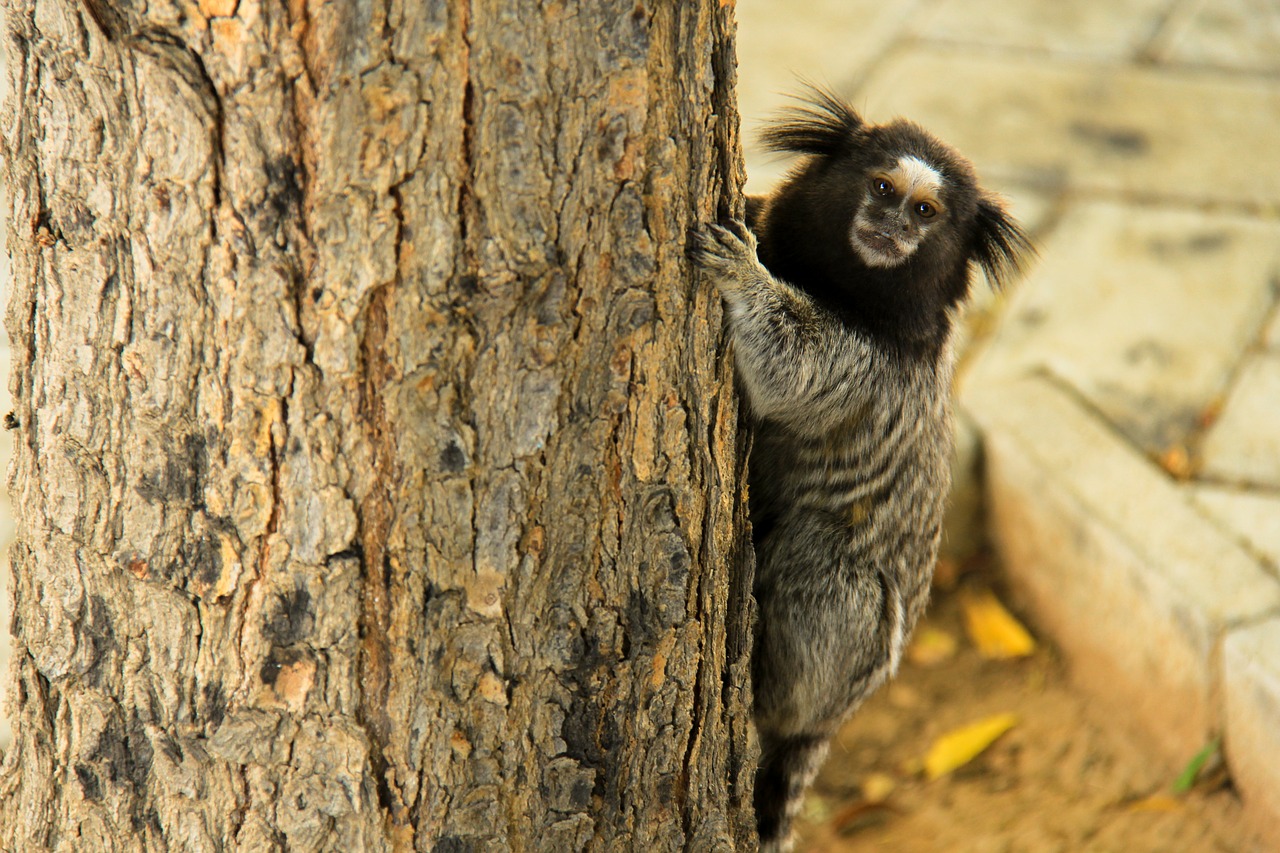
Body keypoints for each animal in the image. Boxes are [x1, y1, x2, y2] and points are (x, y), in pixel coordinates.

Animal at [691, 89, 1029, 845]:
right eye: (880, 188)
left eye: (926, 212)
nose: (891, 227)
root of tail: (836, 716)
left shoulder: (868, 368)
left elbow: (787, 368)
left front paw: (743, 274)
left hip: (854, 651)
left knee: (824, 563)